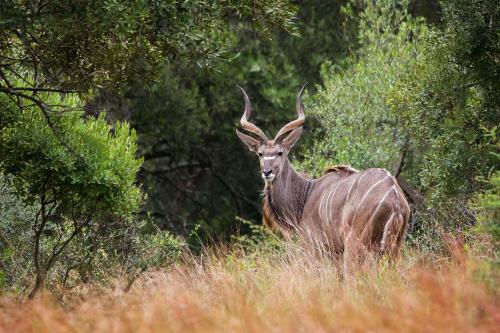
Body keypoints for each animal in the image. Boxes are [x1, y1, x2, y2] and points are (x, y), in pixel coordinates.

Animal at [235, 84, 410, 272]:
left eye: (280, 153)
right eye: (260, 154)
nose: (267, 172)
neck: (306, 194)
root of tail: (396, 200)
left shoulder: (317, 248)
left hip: (355, 246)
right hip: (394, 249)